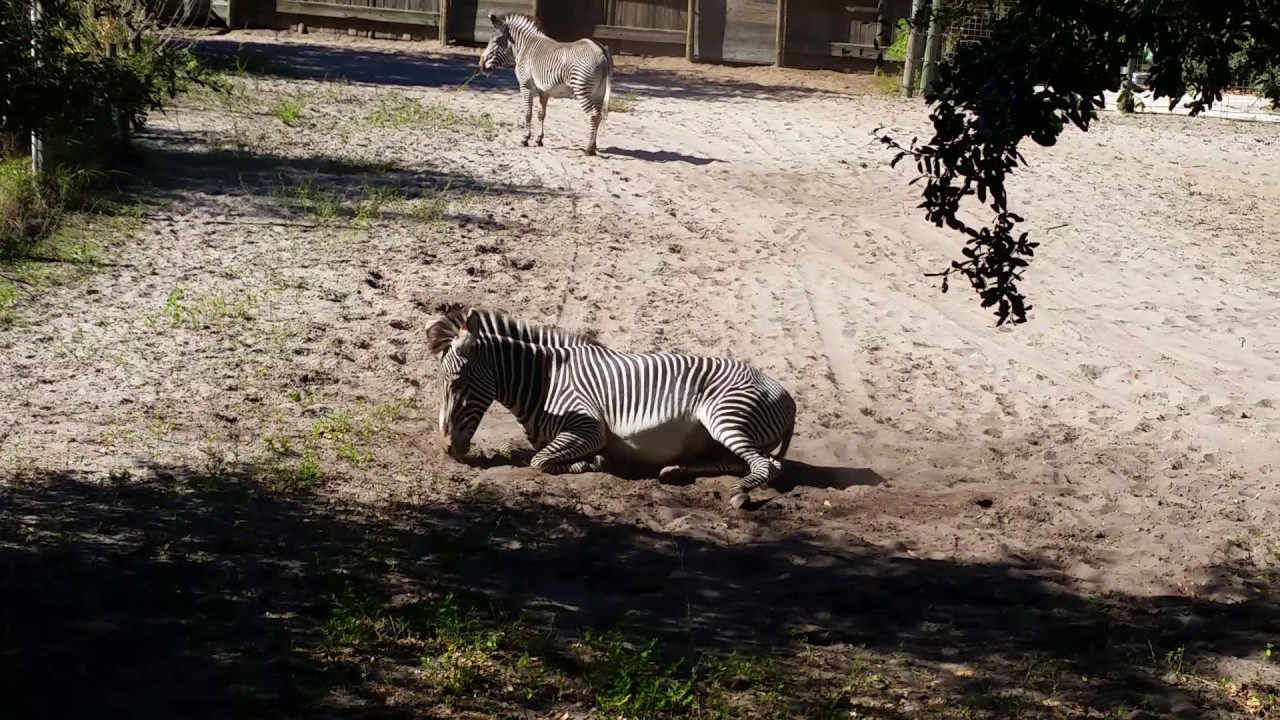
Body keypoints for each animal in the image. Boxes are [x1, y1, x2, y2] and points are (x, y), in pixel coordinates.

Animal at [426, 307, 798, 510]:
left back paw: (738, 494)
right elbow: (521, 449)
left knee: (768, 466)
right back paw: (675, 471)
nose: (447, 449)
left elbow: (540, 461)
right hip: (720, 433)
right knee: (741, 462)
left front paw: (592, 462)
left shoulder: (589, 428)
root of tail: (789, 397)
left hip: (725, 415)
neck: (544, 382)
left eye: (457, 381)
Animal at [477, 11, 614, 156]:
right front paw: (538, 139)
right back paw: (594, 146)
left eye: (495, 42)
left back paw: (589, 149)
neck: (524, 47)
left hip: (581, 88)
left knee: (593, 115)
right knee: (599, 116)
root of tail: (600, 49)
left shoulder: (525, 85)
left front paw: (525, 139)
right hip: (599, 92)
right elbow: (541, 114)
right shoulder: (544, 90)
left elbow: (528, 113)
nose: (480, 65)